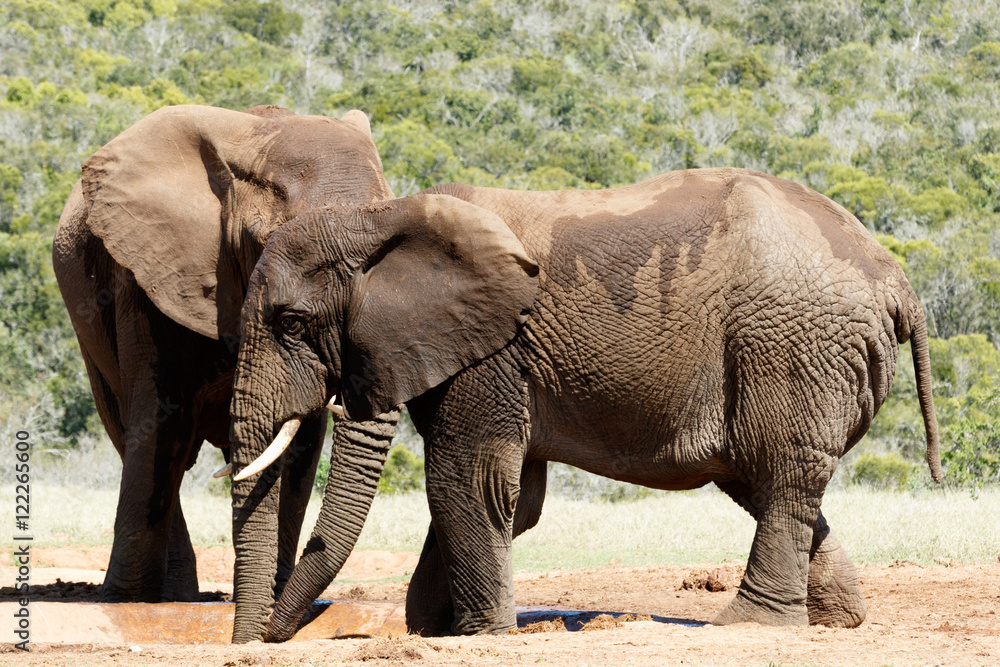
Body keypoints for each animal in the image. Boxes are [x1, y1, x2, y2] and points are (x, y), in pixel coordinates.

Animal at [52, 103, 400, 602]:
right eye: (273, 245)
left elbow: (299, 438)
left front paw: (271, 597)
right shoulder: (146, 278)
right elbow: (162, 422)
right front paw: (125, 599)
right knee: (136, 433)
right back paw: (169, 597)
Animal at [227, 167, 942, 642]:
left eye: (291, 322)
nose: (261, 641)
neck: (382, 216)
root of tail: (895, 276)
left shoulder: (494, 352)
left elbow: (469, 478)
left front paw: (480, 635)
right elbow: (515, 497)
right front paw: (433, 630)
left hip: (792, 344)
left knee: (782, 471)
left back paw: (748, 625)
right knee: (768, 480)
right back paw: (836, 620)